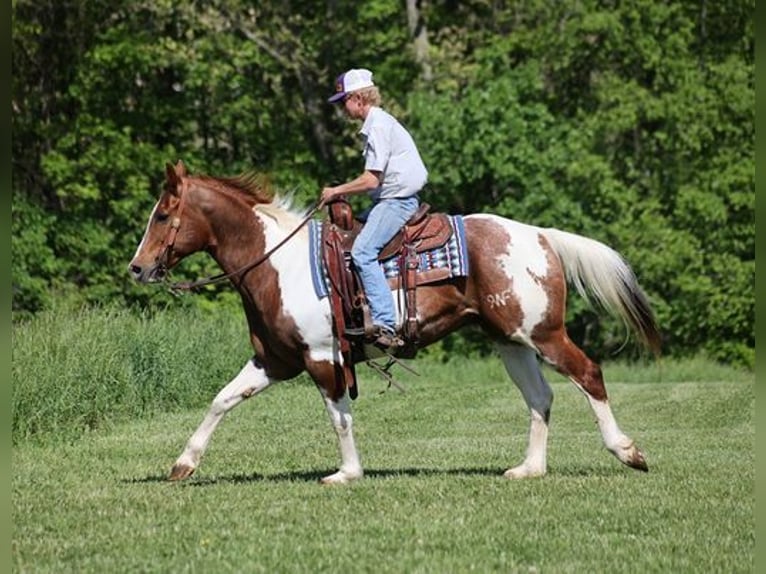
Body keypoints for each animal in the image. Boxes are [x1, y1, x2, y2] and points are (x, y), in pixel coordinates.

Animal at [129, 162, 664, 486]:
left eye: (163, 215)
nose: (137, 268)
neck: (278, 263)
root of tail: (540, 234)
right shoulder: (274, 360)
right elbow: (222, 400)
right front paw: (183, 464)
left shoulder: (322, 356)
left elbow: (338, 415)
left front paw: (347, 473)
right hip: (510, 340)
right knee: (540, 397)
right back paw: (529, 468)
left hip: (543, 334)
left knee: (588, 374)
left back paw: (628, 452)